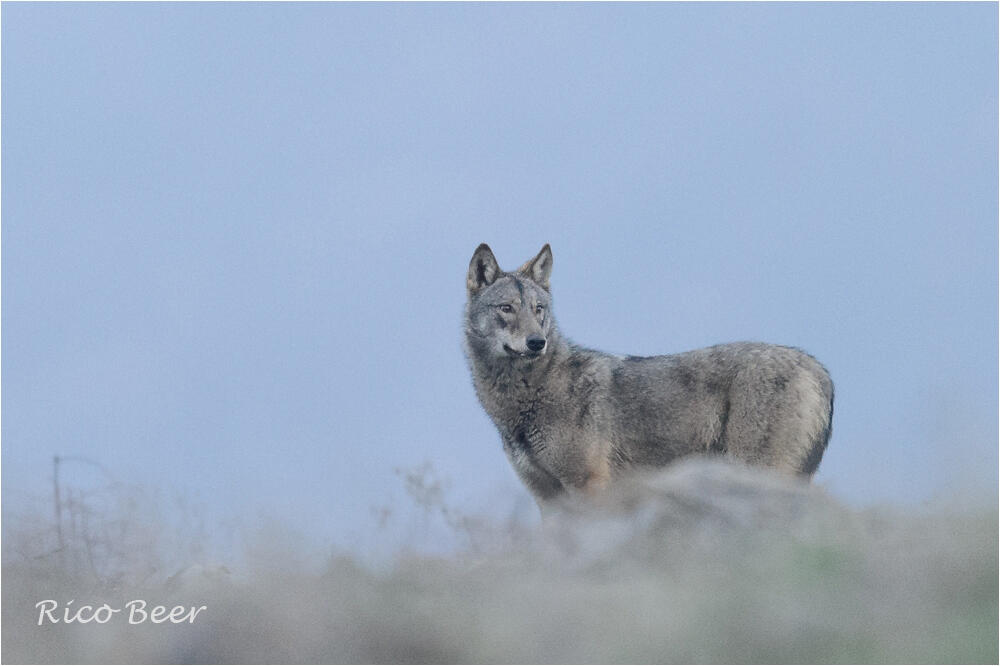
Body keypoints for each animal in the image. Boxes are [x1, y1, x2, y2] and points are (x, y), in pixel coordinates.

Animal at [464, 243, 834, 507]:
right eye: (506, 308)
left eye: (538, 309)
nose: (536, 342)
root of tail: (820, 369)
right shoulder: (547, 498)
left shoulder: (589, 485)